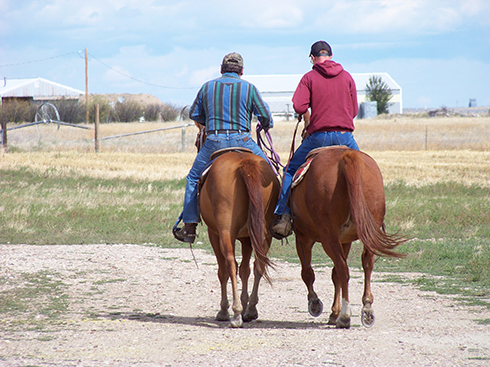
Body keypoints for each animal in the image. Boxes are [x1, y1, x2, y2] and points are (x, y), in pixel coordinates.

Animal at [196, 127, 280, 328]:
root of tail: (244, 163)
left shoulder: (214, 234)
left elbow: (224, 270)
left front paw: (224, 310)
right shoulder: (247, 238)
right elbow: (245, 270)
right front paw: (245, 303)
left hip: (225, 232)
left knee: (230, 263)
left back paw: (235, 314)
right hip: (264, 232)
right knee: (258, 264)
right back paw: (250, 310)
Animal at [290, 145, 406, 330]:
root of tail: (348, 157)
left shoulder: (303, 237)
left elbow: (307, 273)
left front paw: (315, 304)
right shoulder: (345, 241)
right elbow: (334, 274)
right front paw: (333, 312)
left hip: (328, 236)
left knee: (343, 269)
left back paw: (345, 316)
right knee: (366, 264)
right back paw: (366, 309)